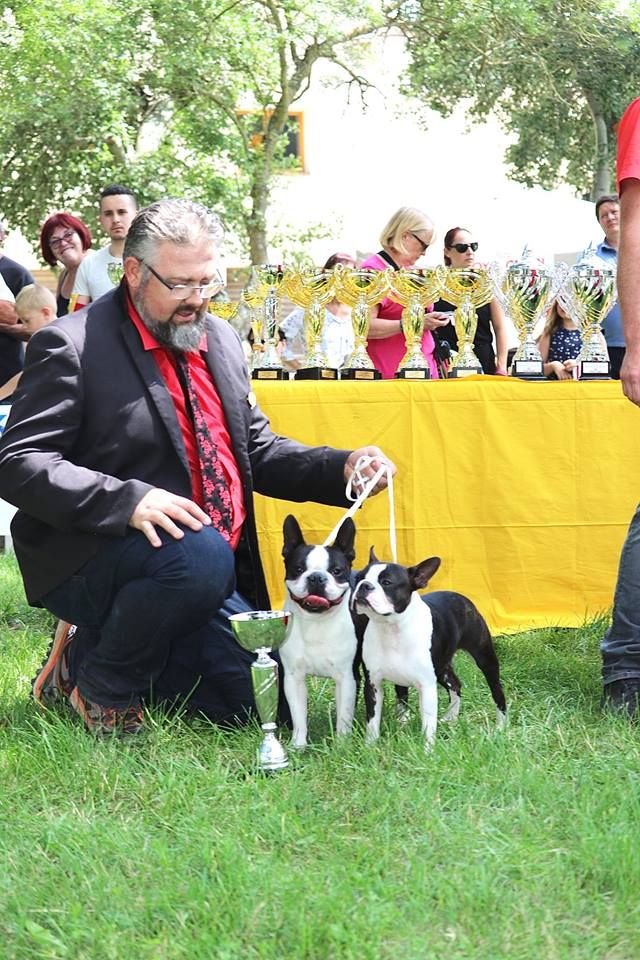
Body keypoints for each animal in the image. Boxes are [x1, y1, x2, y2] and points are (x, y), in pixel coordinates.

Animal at [280, 512, 360, 748]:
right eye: (298, 569)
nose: (316, 577)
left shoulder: (346, 678)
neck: (316, 620)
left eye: (336, 571)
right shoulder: (293, 678)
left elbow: (343, 716)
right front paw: (298, 745)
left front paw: (342, 746)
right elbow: (298, 715)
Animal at [350, 548, 504, 752]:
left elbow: (428, 724)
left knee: (497, 691)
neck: (391, 627)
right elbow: (372, 721)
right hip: (442, 667)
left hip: (485, 658)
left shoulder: (426, 685)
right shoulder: (373, 683)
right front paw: (370, 748)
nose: (364, 586)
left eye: (387, 582)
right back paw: (450, 718)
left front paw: (428, 751)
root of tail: (460, 597)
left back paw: (501, 726)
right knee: (455, 685)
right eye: (359, 578)